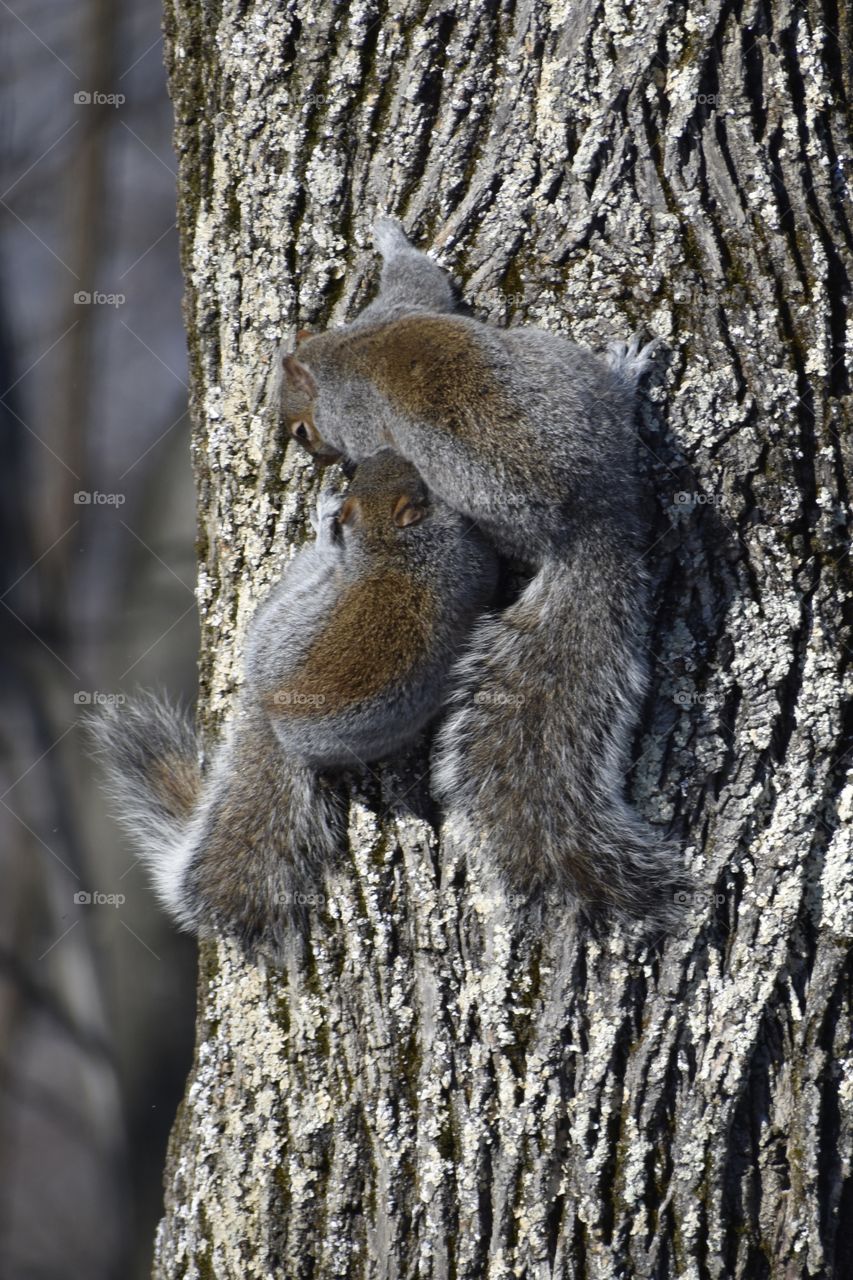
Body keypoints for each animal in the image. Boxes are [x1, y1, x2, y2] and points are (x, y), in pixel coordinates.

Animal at [91, 451, 498, 951]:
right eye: (419, 485)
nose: (382, 453)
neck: (391, 544)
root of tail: (270, 710)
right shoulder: (467, 558)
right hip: (293, 597)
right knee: (316, 562)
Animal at [280, 218, 681, 922]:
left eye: (300, 430)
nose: (311, 453)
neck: (343, 355)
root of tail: (596, 514)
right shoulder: (398, 312)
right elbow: (425, 282)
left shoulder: (383, 351)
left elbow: (417, 277)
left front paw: (386, 236)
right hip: (561, 371)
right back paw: (626, 375)